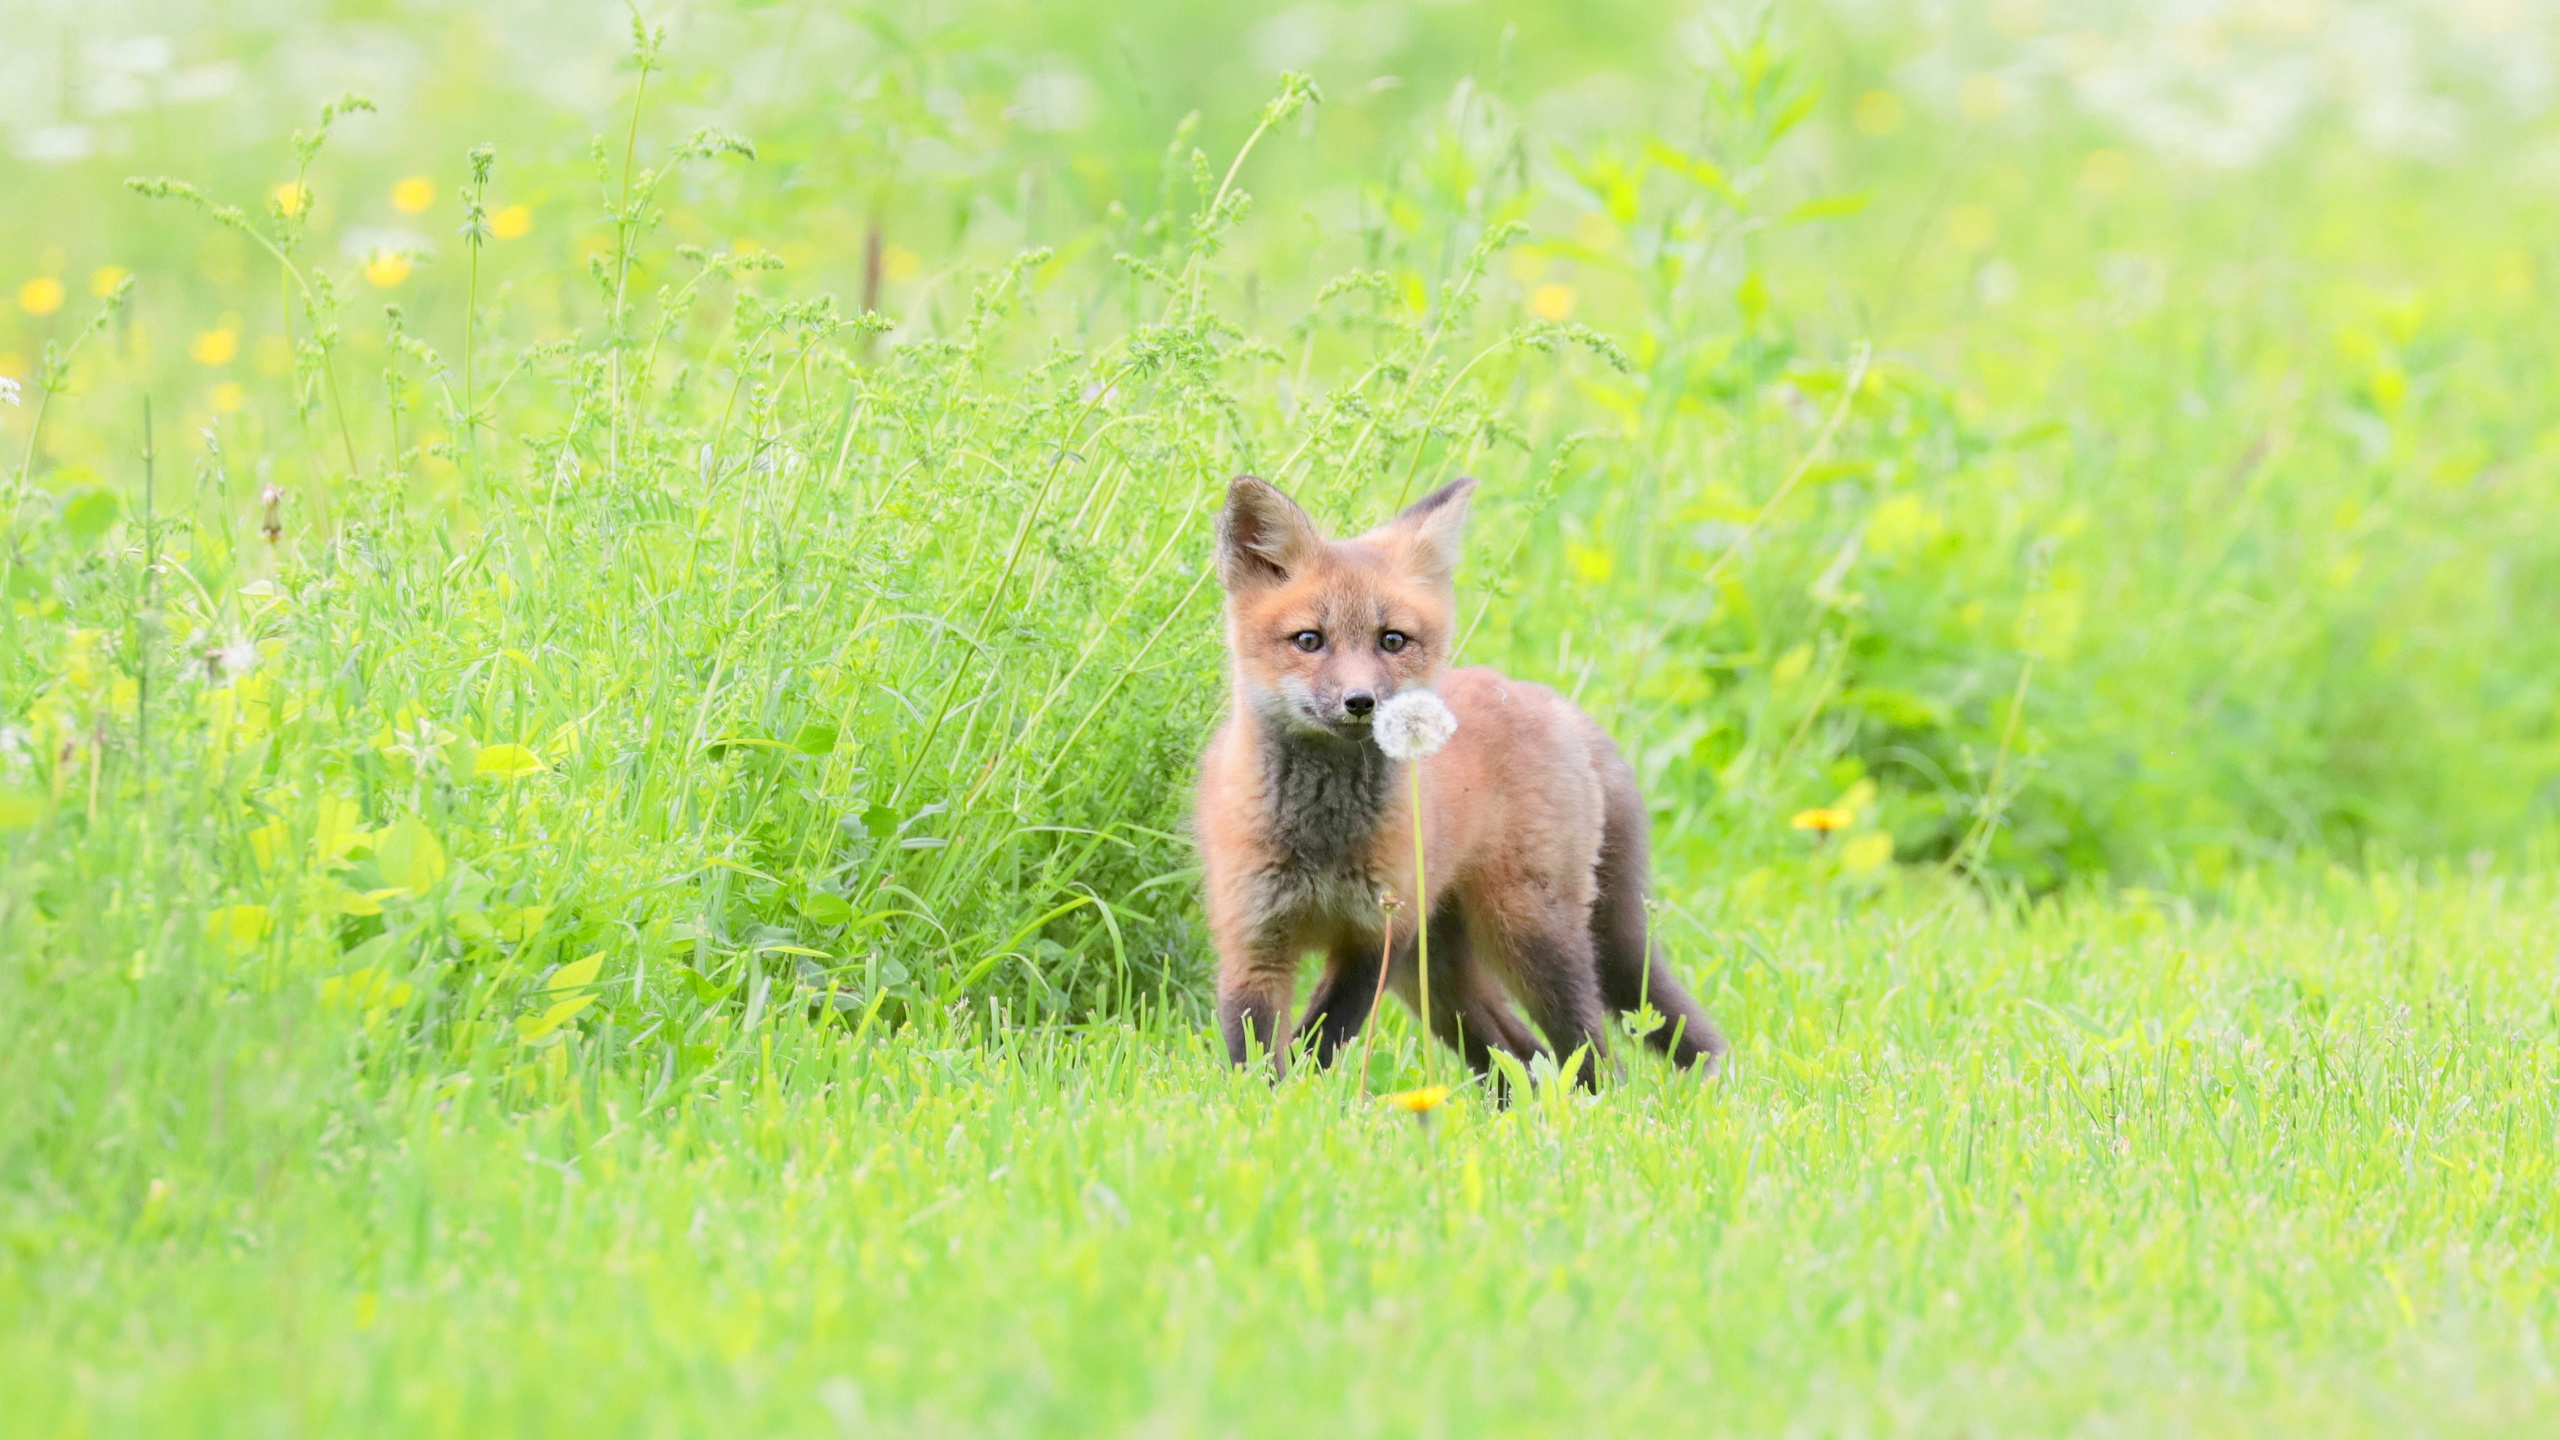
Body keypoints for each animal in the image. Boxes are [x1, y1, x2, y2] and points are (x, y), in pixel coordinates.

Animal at [1192, 476, 1720, 1081]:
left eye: (1392, 640)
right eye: (1308, 640)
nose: (1360, 701)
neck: (1321, 842)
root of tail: (1552, 702)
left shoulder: (1377, 938)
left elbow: (1319, 1043)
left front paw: (1301, 1095)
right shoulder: (1252, 940)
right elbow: (1253, 1056)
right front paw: (1266, 1100)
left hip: (1529, 939)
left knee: (1591, 1056)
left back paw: (1594, 1098)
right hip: (1440, 980)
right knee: (1518, 1053)